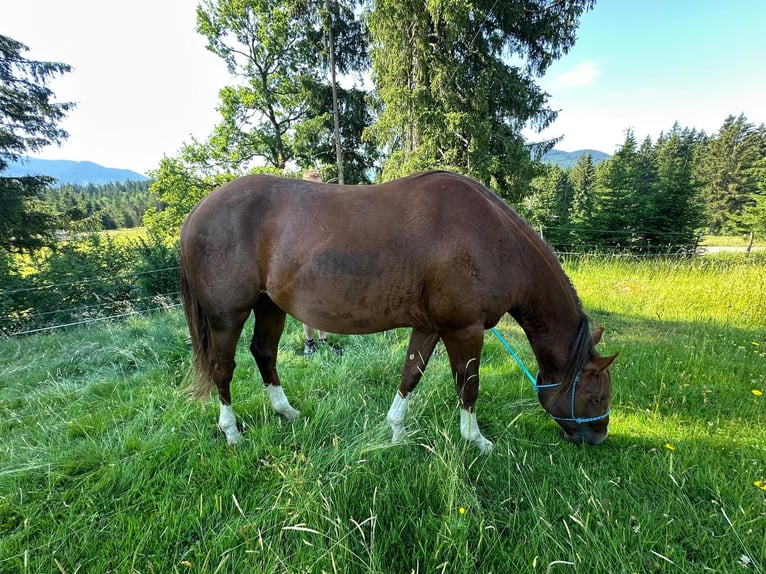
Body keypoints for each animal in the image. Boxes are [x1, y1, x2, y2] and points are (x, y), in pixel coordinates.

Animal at [179, 171, 617, 452]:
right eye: (596, 397)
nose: (598, 438)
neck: (495, 241)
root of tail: (196, 213)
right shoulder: (465, 329)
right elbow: (468, 386)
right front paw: (476, 440)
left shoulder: (430, 327)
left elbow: (411, 375)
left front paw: (397, 432)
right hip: (227, 316)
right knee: (223, 368)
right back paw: (232, 432)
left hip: (270, 307)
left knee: (264, 354)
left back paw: (286, 412)